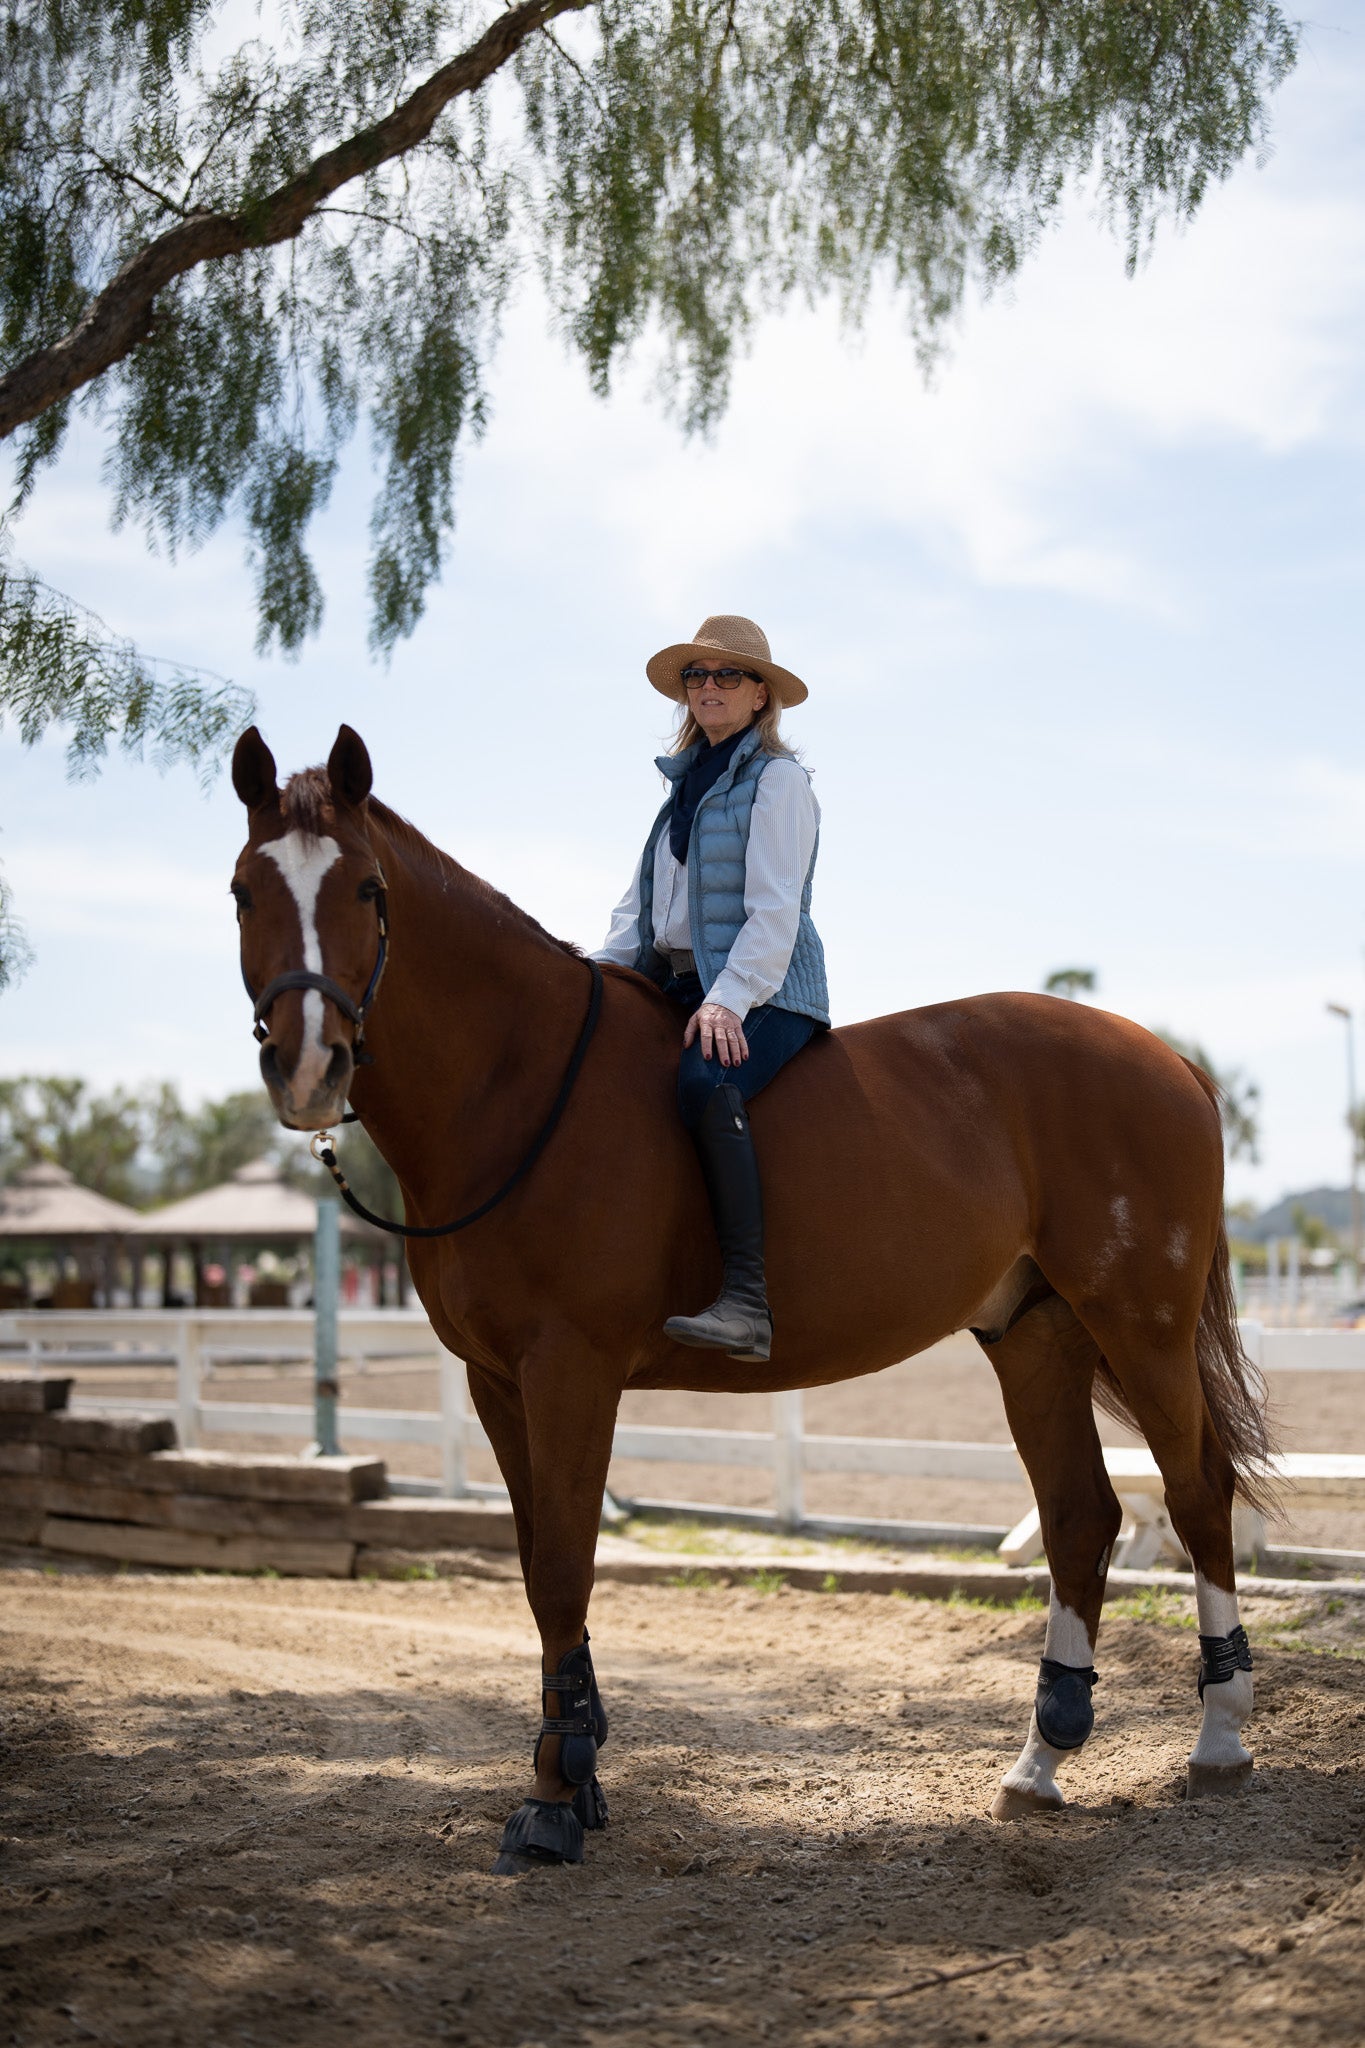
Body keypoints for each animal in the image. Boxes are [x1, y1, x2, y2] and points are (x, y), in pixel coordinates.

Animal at [232, 724, 1268, 1875]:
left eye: (368, 889)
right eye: (242, 890)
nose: (308, 1066)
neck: (520, 1082)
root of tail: (1166, 1058)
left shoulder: (570, 1372)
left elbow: (562, 1568)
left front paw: (552, 1798)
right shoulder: (498, 1383)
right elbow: (537, 1564)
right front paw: (577, 1770)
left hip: (1141, 1326)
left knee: (1197, 1492)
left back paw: (1219, 1740)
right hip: (1036, 1336)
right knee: (1081, 1517)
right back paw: (1040, 1760)